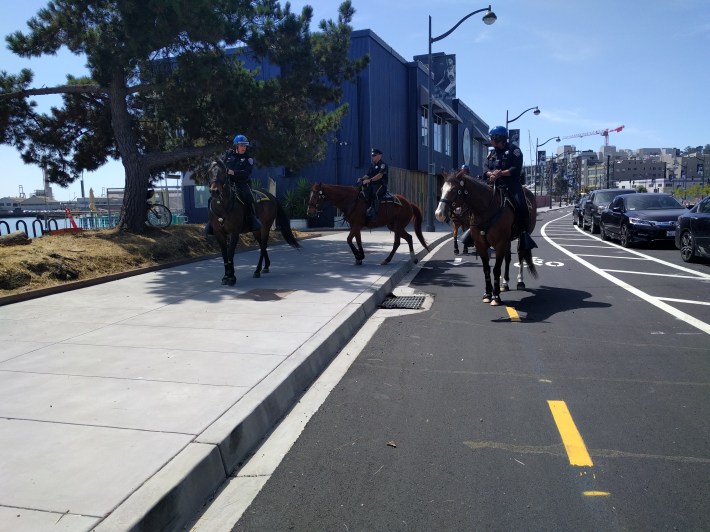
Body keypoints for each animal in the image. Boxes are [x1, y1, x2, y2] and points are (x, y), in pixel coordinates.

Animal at [434, 174, 540, 306]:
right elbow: (486, 269)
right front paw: (488, 294)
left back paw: (520, 281)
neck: (486, 211)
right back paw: (505, 283)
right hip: (507, 241)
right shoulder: (481, 245)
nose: (438, 214)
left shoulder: (499, 244)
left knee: (521, 256)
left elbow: (496, 269)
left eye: (454, 190)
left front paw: (495, 296)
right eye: (442, 189)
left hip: (521, 236)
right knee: (508, 258)